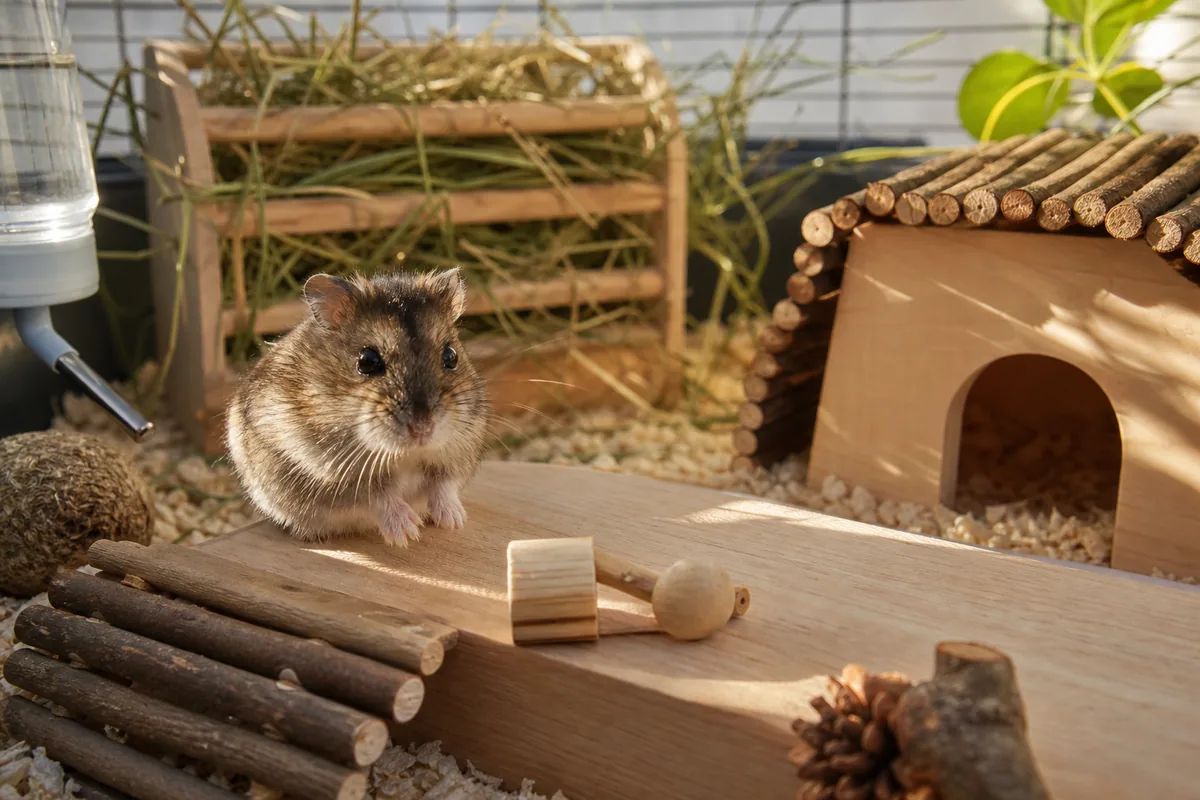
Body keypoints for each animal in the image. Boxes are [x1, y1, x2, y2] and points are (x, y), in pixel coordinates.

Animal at [224, 267, 492, 548]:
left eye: (451, 356)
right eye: (367, 361)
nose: (423, 430)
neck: (406, 455)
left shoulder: (458, 451)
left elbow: (444, 484)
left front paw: (453, 521)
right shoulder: (330, 475)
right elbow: (376, 497)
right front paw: (407, 532)